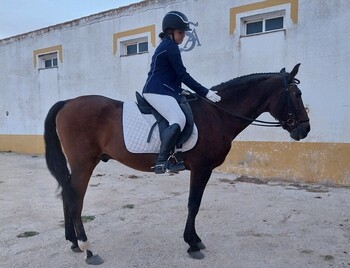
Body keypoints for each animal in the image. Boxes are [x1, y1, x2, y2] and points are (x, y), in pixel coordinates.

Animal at [43, 63, 308, 264]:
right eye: (296, 95)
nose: (305, 130)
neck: (217, 114)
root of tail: (67, 102)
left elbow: (195, 204)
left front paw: (195, 240)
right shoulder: (201, 168)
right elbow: (193, 204)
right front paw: (192, 244)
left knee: (67, 195)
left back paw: (73, 242)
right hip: (84, 164)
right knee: (75, 200)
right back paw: (89, 249)